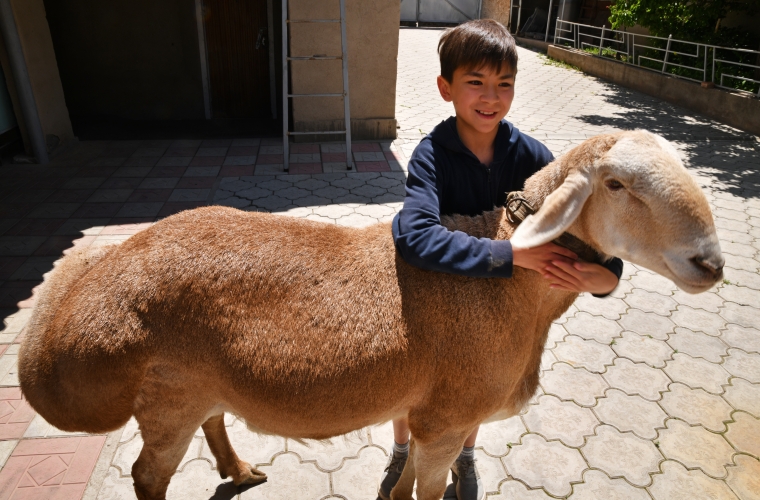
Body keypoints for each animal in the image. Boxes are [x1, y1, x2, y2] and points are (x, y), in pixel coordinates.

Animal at [14, 130, 720, 500]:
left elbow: (407, 479)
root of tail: (85, 296)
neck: (510, 294)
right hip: (167, 396)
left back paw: (241, 471)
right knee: (147, 474)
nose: (710, 262)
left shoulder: (432, 410)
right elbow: (429, 487)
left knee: (213, 421)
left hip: (190, 382)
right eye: (616, 185)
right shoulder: (444, 419)